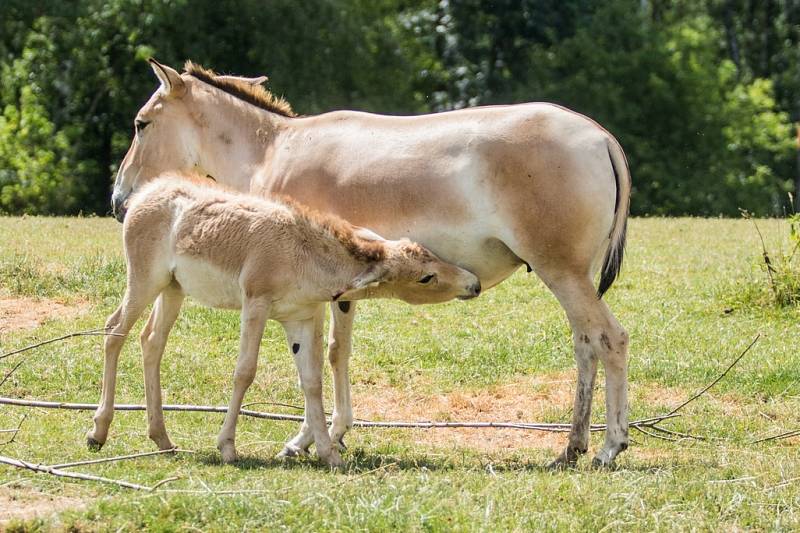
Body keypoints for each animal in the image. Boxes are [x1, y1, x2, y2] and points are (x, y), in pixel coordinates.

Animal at [86, 176, 482, 466]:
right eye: (426, 277)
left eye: (429, 252)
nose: (474, 283)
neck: (302, 253)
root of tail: (144, 194)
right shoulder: (256, 305)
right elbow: (245, 372)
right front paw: (227, 446)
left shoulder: (300, 319)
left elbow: (312, 381)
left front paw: (327, 454)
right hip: (144, 280)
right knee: (114, 330)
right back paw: (98, 433)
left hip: (172, 289)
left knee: (151, 342)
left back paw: (162, 439)